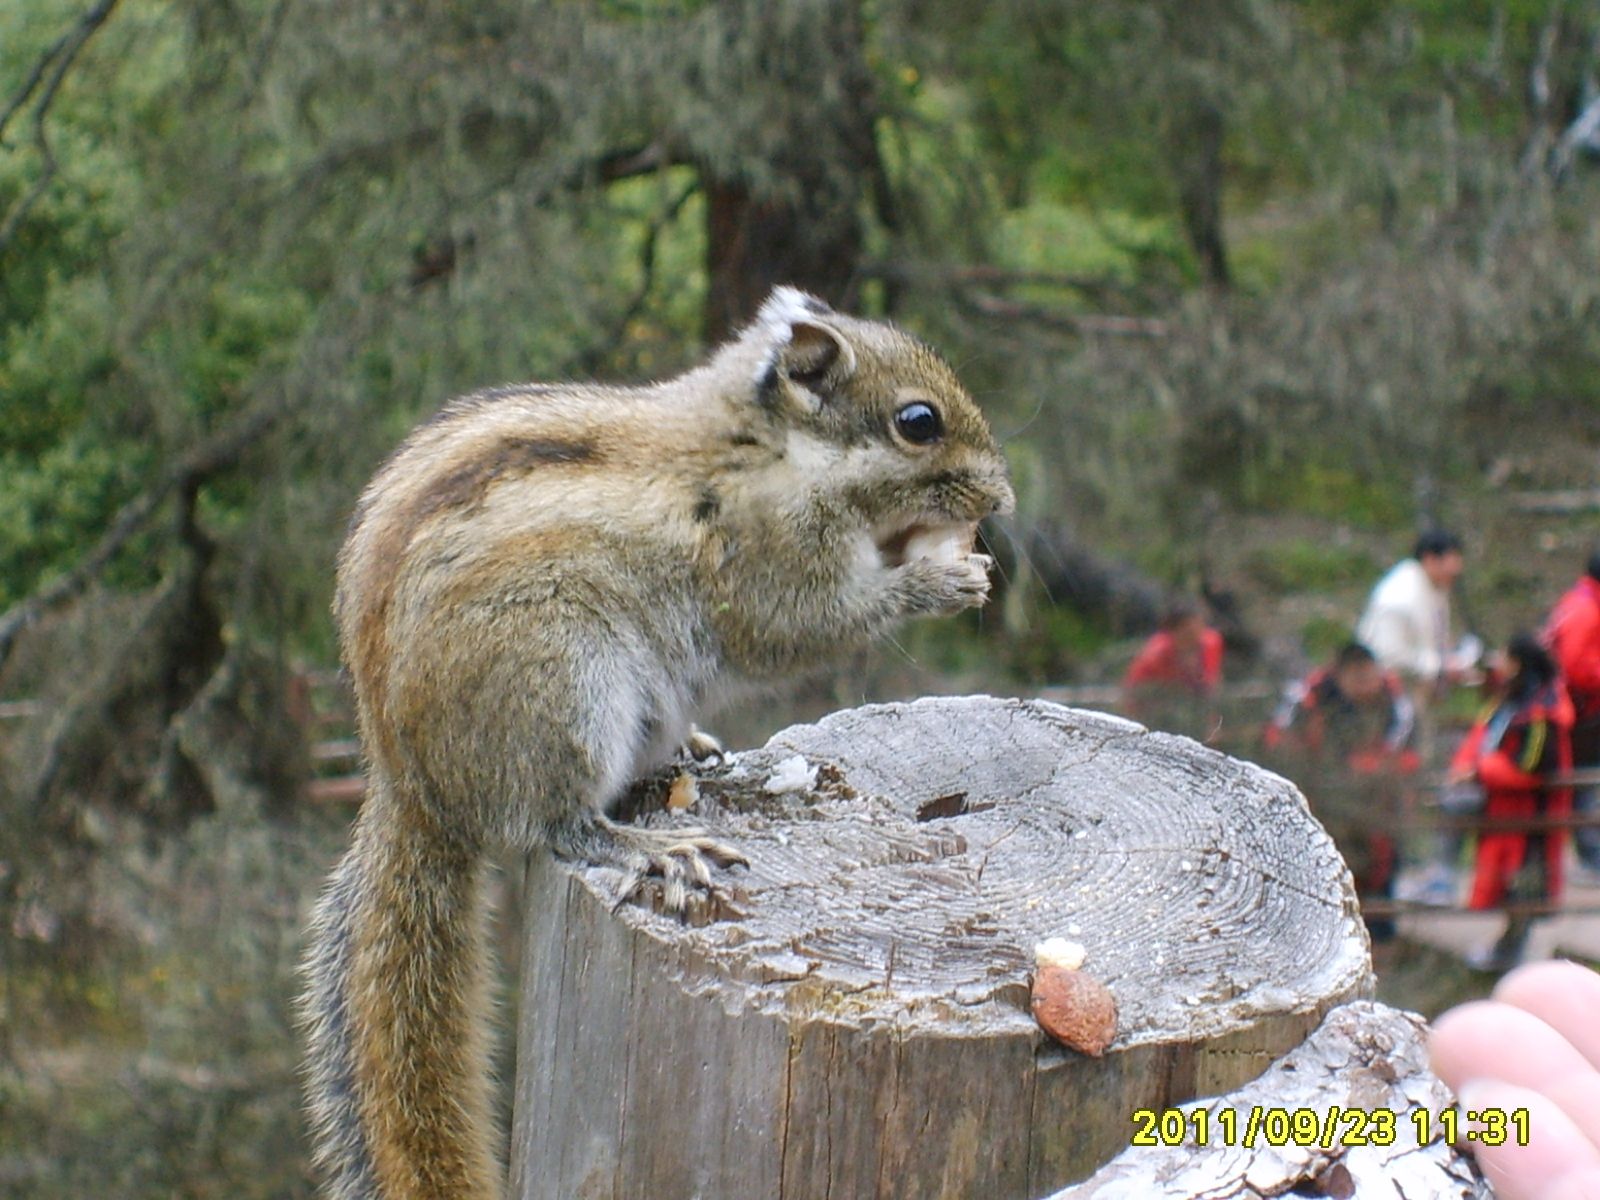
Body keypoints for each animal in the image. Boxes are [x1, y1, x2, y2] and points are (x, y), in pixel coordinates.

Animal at [300, 289, 1011, 1200]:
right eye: (918, 422)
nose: (1000, 498)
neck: (767, 453)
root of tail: (412, 784)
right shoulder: (765, 563)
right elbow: (800, 626)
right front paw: (939, 579)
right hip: (560, 687)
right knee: (557, 825)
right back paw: (652, 848)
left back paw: (695, 757)